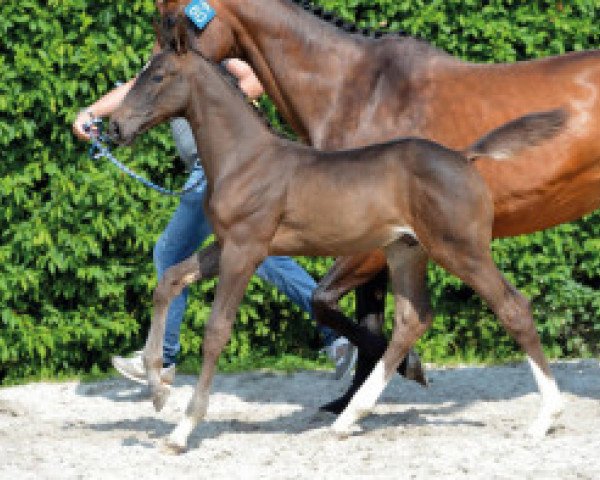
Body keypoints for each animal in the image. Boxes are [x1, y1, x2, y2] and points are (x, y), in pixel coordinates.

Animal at [111, 47, 568, 452]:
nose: (114, 127)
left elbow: (216, 330)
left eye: (157, 76)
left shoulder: (245, 249)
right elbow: (169, 281)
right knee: (412, 320)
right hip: (406, 252)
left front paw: (182, 430)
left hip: (461, 250)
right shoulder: (226, 246)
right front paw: (157, 389)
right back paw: (350, 418)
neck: (246, 159)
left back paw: (547, 417)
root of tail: (463, 156)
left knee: (513, 308)